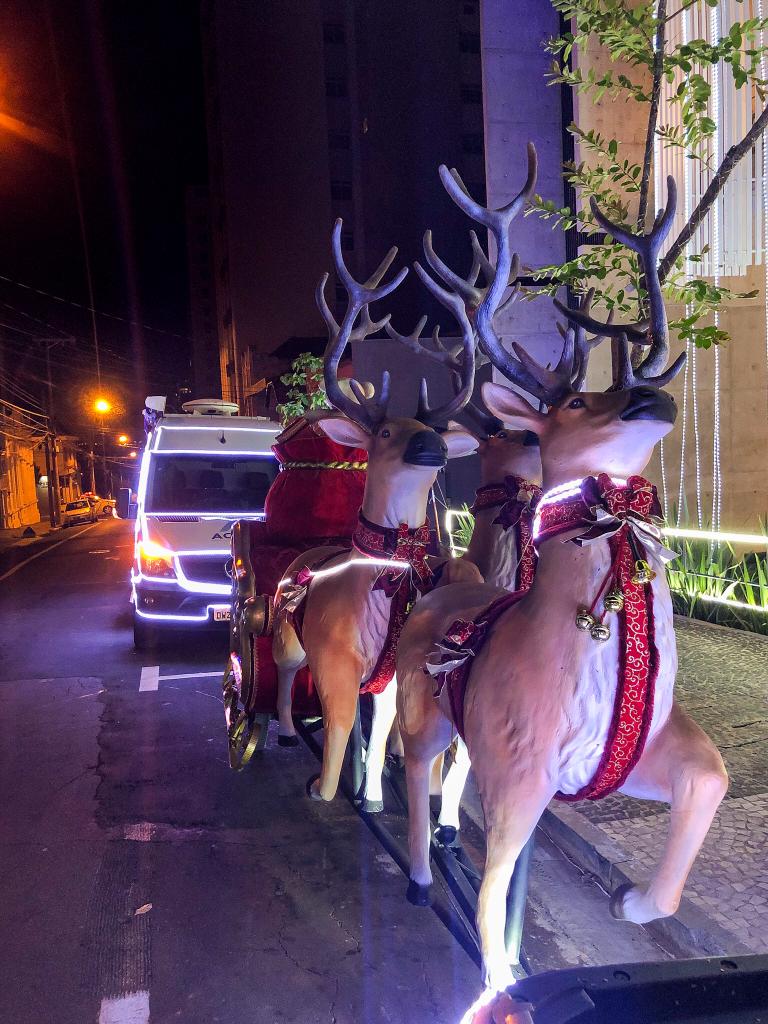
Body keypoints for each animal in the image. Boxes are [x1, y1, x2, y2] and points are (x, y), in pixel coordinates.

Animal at [270, 217, 483, 812]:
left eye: (431, 428)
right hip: (286, 636)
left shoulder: (389, 670)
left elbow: (384, 721)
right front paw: (324, 788)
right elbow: (342, 721)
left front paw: (371, 795)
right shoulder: (333, 660)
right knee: (285, 674)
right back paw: (288, 730)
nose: (435, 444)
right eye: (385, 431)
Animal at [395, 174, 727, 1000]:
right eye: (576, 403)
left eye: (633, 378)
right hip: (424, 710)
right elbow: (492, 890)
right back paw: (419, 871)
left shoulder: (640, 750)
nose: (651, 397)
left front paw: (634, 901)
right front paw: (498, 979)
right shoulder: (521, 767)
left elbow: (710, 777)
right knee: (414, 770)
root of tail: (443, 589)